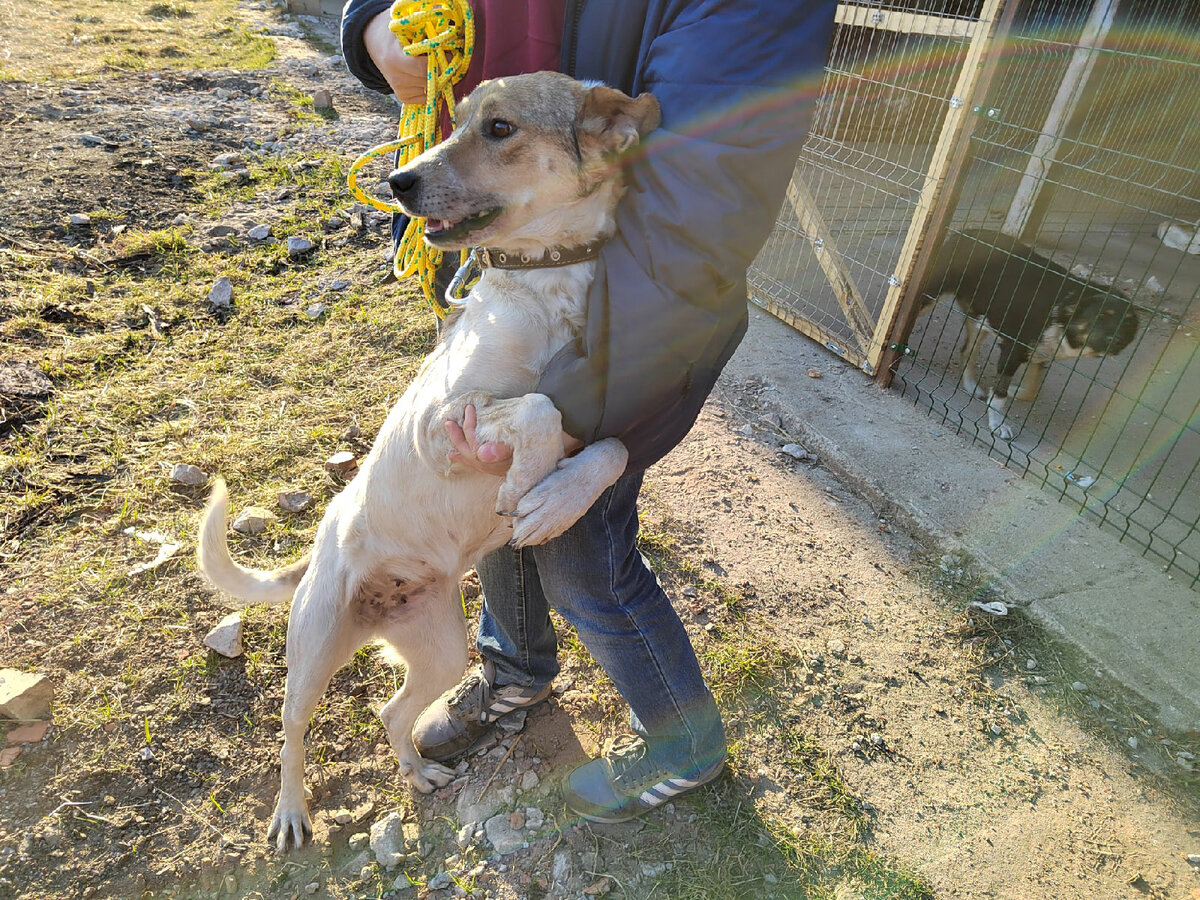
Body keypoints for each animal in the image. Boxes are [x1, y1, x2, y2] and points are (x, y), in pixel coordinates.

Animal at [200, 72, 662, 854]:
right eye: (457, 120)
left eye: (500, 128)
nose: (396, 180)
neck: (547, 286)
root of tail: (323, 554)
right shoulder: (440, 421)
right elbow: (537, 409)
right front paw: (527, 483)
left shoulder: (597, 410)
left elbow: (605, 442)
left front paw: (553, 496)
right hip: (313, 654)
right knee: (290, 736)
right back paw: (292, 813)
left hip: (442, 648)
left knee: (390, 712)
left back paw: (415, 770)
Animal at [916, 229, 1142, 441]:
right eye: (1102, 315)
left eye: (1128, 323)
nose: (1118, 341)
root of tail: (966, 233)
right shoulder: (1013, 350)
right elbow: (1000, 395)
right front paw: (998, 424)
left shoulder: (1042, 353)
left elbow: (1032, 390)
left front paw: (1014, 391)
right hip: (931, 296)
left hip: (980, 319)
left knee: (966, 351)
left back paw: (972, 386)